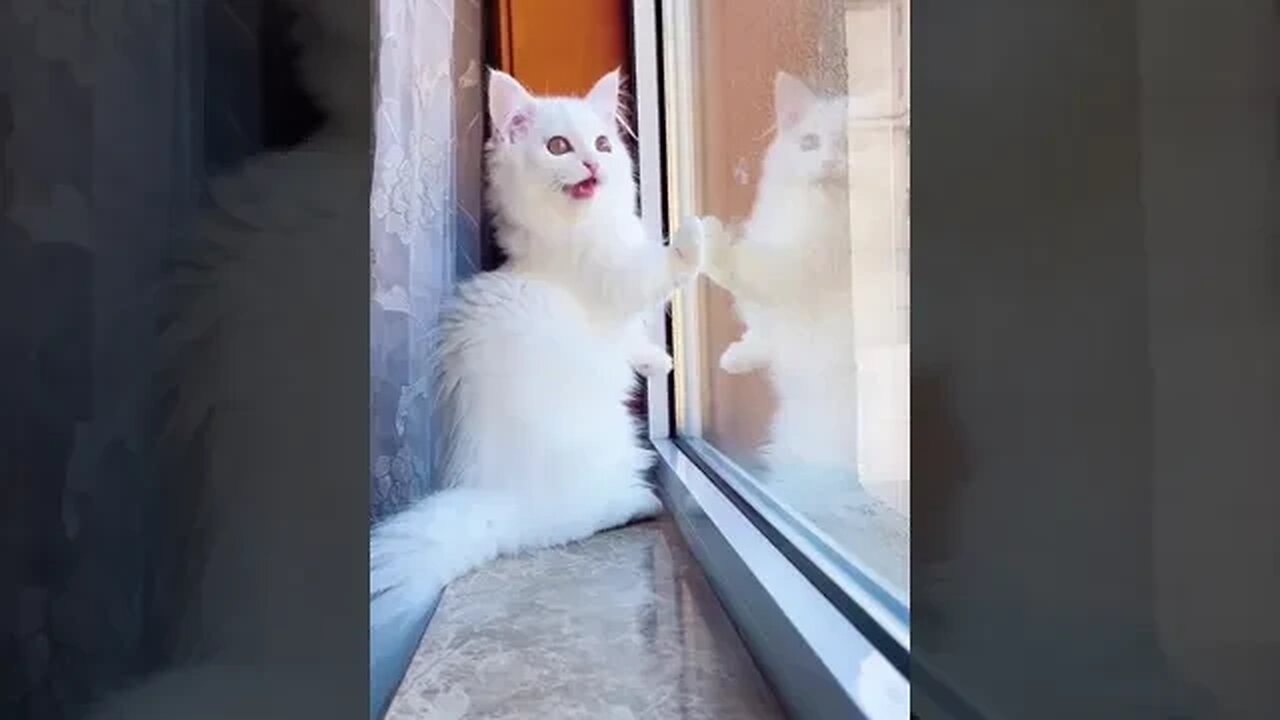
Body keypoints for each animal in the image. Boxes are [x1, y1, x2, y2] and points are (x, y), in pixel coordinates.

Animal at [371, 70, 706, 622]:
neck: (576, 237)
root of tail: (502, 499)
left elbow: (634, 341)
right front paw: (695, 236)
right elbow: (658, 273)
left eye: (603, 144)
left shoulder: (619, 319)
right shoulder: (616, 283)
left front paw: (659, 360)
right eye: (558, 146)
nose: (593, 164)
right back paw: (642, 502)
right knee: (578, 518)